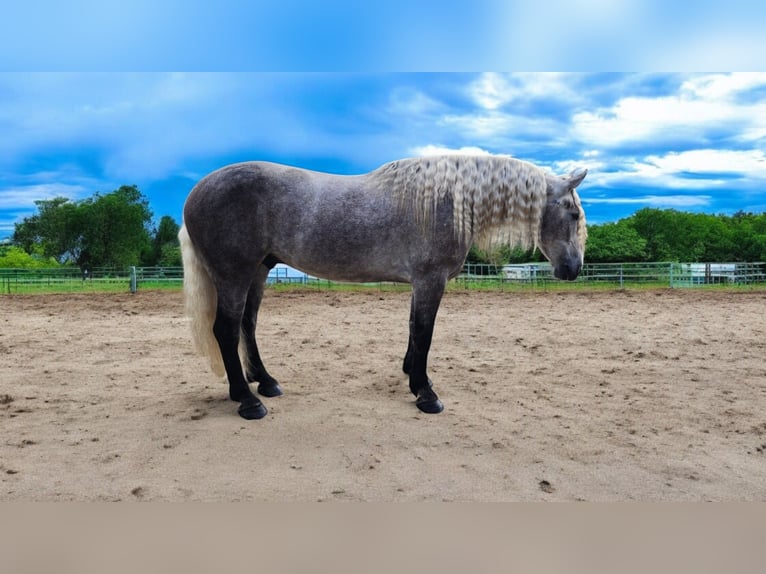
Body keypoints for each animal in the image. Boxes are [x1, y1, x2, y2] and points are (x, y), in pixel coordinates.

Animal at [180, 155, 588, 420]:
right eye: (573, 213)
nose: (573, 268)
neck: (443, 202)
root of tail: (195, 193)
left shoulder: (420, 284)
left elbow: (413, 330)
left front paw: (414, 375)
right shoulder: (429, 280)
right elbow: (424, 332)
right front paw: (425, 394)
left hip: (258, 272)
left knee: (247, 326)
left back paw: (264, 382)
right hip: (234, 274)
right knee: (226, 330)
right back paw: (247, 401)